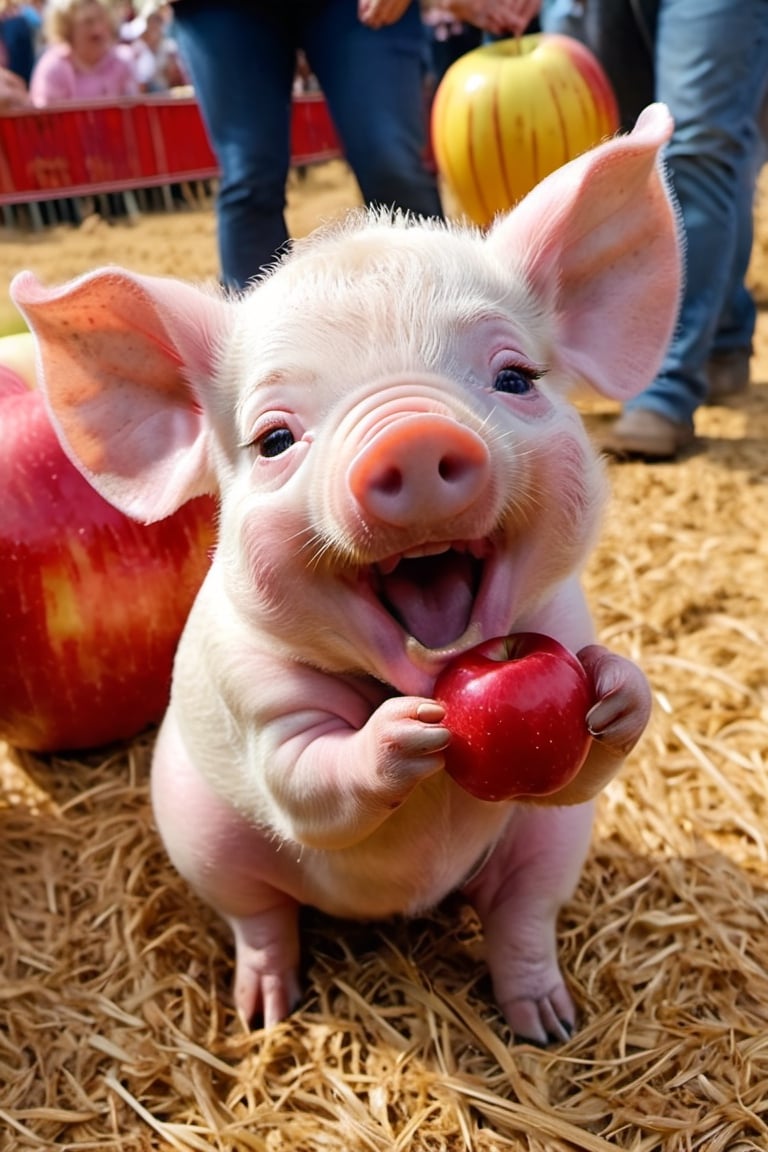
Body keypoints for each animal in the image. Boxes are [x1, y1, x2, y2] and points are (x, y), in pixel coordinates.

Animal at [11, 103, 680, 1047]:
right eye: (274, 439)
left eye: (514, 377)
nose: (415, 434)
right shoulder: (252, 691)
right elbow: (303, 779)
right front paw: (402, 735)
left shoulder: (565, 633)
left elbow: (585, 756)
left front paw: (619, 689)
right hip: (200, 836)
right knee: (260, 918)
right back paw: (264, 1011)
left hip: (551, 848)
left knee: (522, 911)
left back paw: (549, 1025)